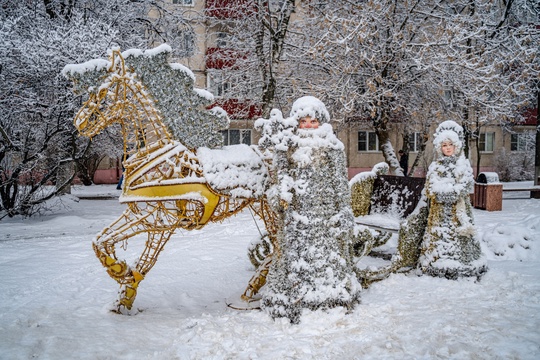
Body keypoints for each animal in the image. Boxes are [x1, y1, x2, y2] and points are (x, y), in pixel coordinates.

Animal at [65, 47, 276, 312]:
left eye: (104, 92)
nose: (80, 122)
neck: (152, 154)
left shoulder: (159, 222)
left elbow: (144, 260)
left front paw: (126, 278)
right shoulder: (138, 214)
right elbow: (100, 242)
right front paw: (122, 288)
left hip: (269, 208)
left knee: (279, 246)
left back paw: (250, 293)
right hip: (260, 208)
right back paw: (248, 293)